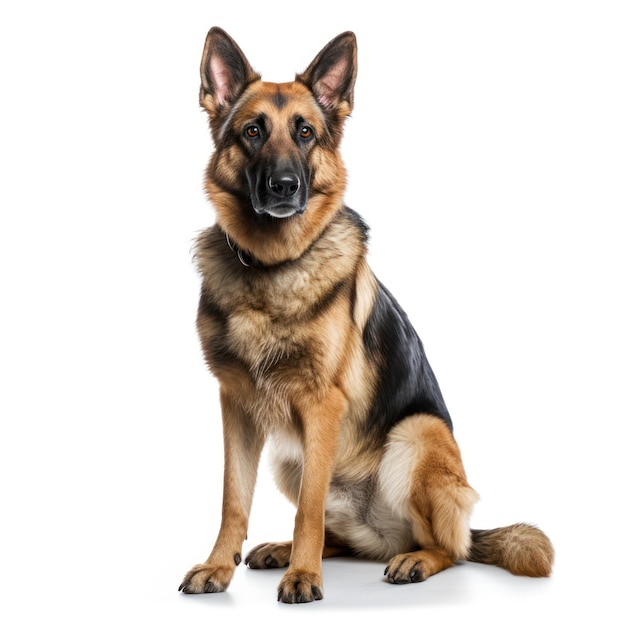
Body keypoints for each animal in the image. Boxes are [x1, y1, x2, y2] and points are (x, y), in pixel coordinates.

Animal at [178, 26, 552, 604]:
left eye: (306, 132)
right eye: (253, 132)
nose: (284, 186)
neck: (273, 267)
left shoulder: (321, 405)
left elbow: (309, 510)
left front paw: (304, 578)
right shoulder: (235, 403)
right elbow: (232, 498)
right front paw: (219, 566)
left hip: (416, 435)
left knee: (450, 548)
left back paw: (412, 560)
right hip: (290, 460)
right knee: (344, 538)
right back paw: (284, 550)